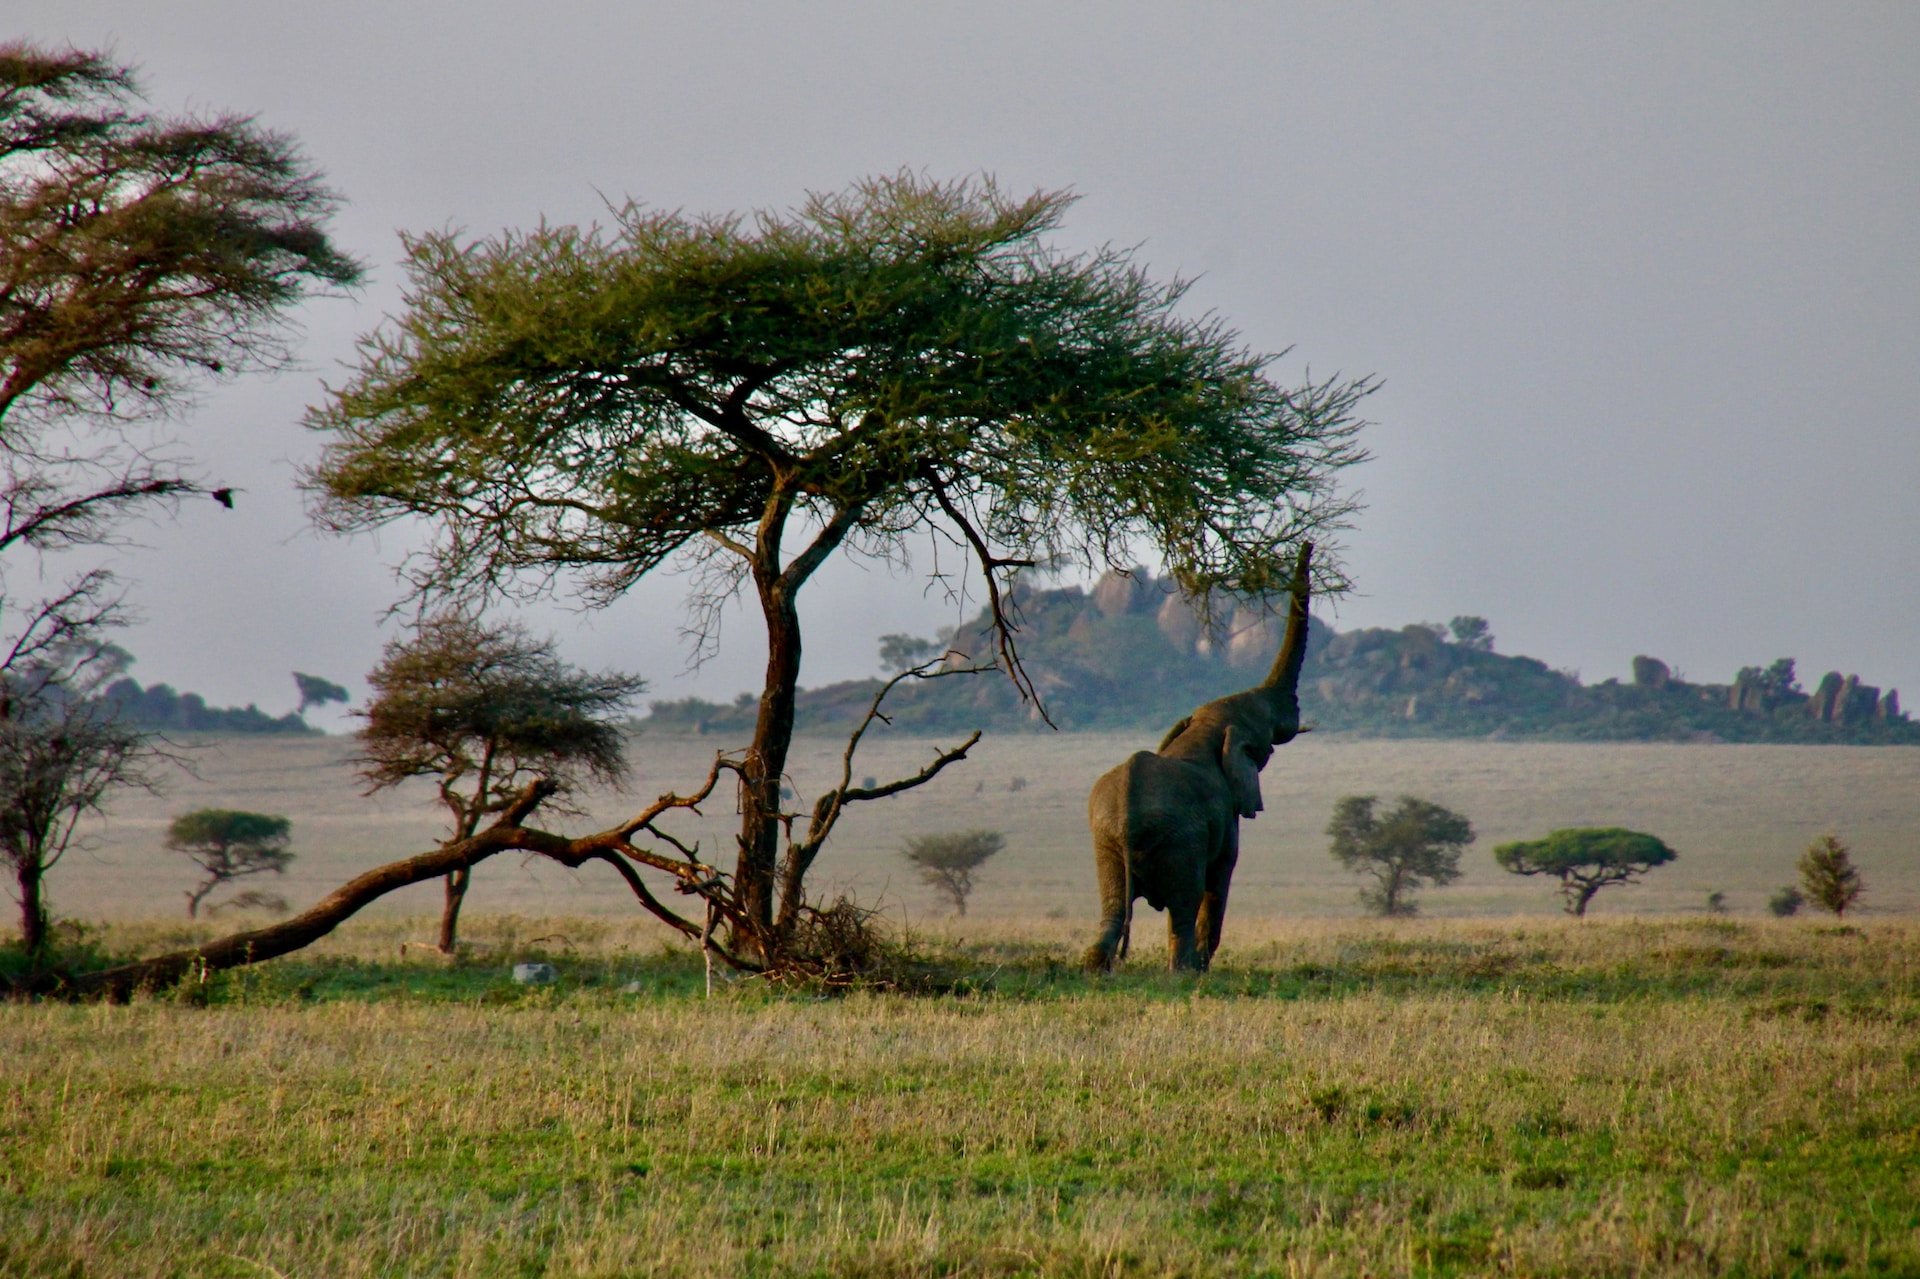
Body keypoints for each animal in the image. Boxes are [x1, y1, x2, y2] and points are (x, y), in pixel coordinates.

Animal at [1090, 537, 1313, 967]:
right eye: (1265, 734)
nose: (1308, 543)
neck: (1204, 729)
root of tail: (1126, 813)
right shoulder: (1227, 817)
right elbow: (1221, 878)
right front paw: (1204, 966)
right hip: (1180, 838)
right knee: (1184, 902)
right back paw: (1186, 971)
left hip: (1105, 840)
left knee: (1112, 909)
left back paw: (1096, 968)